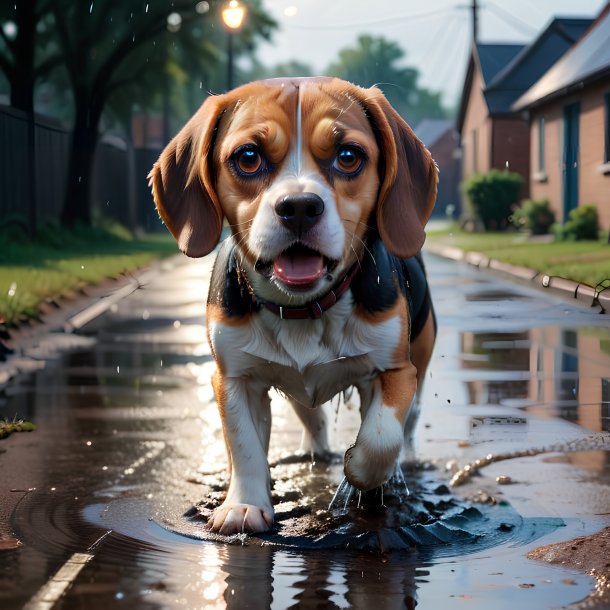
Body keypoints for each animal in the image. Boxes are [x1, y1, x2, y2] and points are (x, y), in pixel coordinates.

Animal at [151, 75, 436, 532]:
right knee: (310, 414)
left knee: (407, 428)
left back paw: (401, 466)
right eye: (248, 157)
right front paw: (243, 506)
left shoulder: (395, 371)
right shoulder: (233, 378)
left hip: (421, 360)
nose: (300, 207)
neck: (305, 307)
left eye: (348, 156)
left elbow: (379, 437)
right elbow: (244, 446)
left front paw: (358, 471)